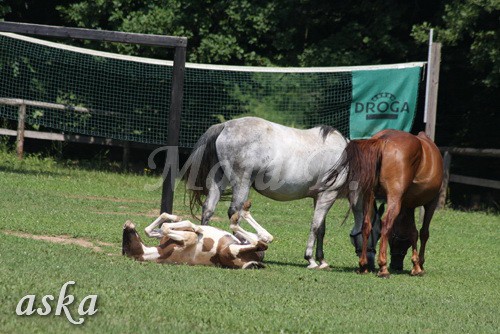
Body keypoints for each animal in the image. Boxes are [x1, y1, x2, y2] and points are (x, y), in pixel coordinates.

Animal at [121, 201, 274, 268]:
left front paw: (175, 217)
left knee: (265, 237)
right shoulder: (189, 238)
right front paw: (197, 228)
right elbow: (167, 227)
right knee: (262, 242)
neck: (157, 253)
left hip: (241, 240)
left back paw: (244, 210)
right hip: (231, 249)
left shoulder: (164, 237)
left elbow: (152, 229)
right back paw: (237, 217)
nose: (126, 224)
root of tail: (255, 261)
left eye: (126, 239)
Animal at [346, 129, 444, 276]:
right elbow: (423, 232)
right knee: (386, 223)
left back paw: (363, 265)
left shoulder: (408, 205)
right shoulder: (431, 202)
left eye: (395, 241)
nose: (396, 265)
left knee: (366, 224)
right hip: (394, 198)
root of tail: (383, 139)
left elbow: (413, 232)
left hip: (369, 195)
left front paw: (416, 265)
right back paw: (383, 268)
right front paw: (420, 264)